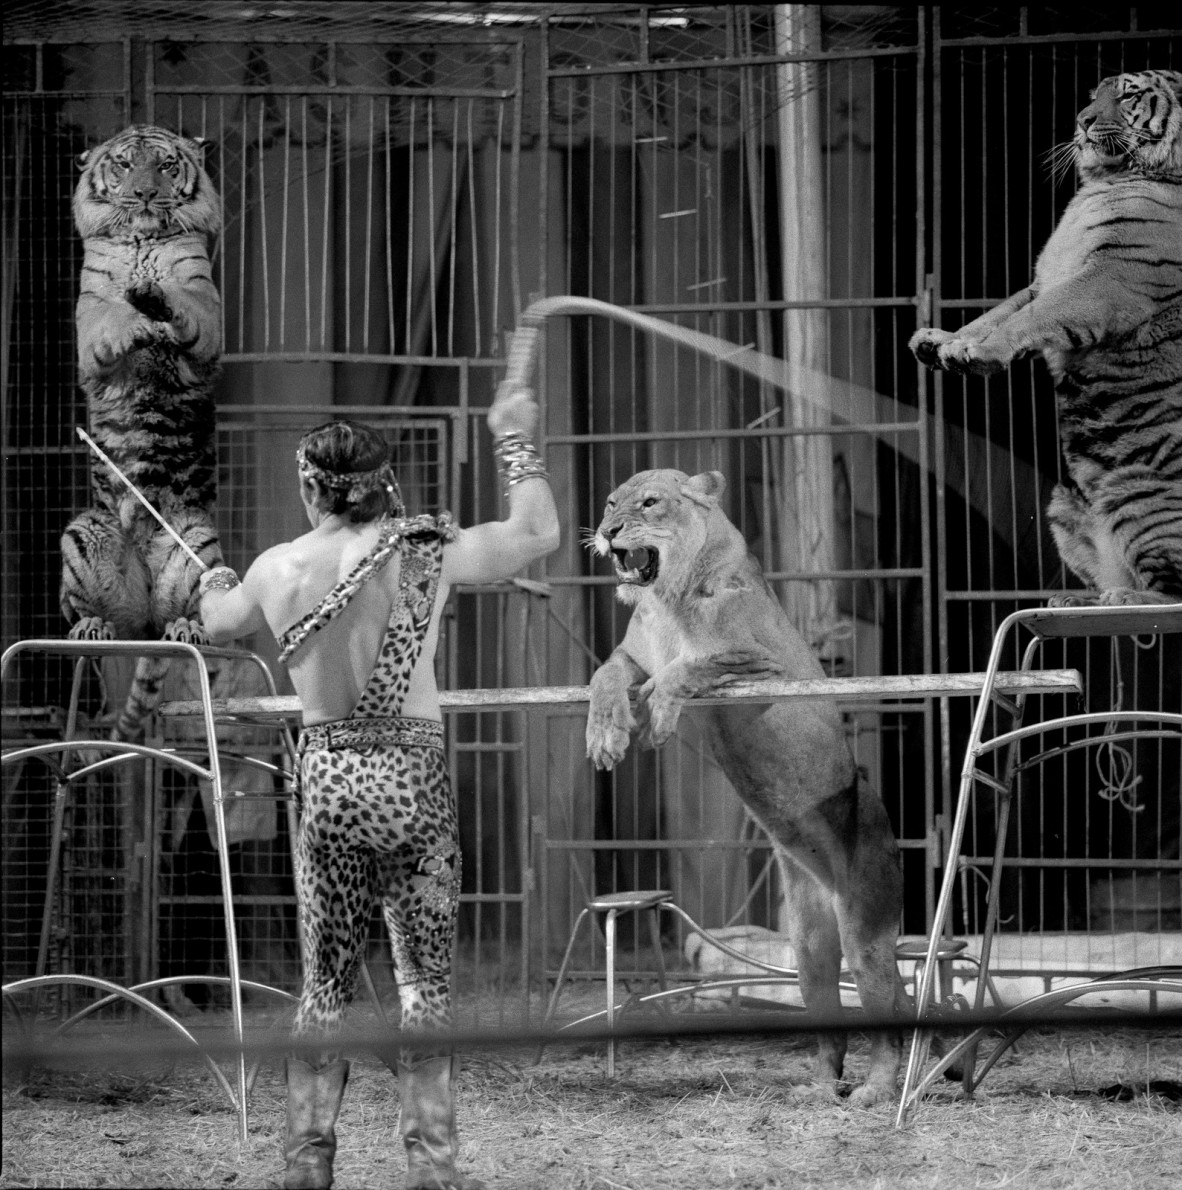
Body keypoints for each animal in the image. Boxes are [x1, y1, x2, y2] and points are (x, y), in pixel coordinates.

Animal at [58, 125, 226, 737]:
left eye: (166, 165)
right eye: (126, 165)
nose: (148, 194)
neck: (141, 241)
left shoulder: (205, 302)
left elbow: (187, 306)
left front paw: (156, 302)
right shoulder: (88, 317)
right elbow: (111, 319)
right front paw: (134, 320)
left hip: (199, 543)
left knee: (196, 617)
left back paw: (186, 628)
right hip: (83, 531)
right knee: (91, 618)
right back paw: (92, 628)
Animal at [909, 68, 1176, 604]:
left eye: (1129, 95)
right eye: (1094, 94)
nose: (1082, 120)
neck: (1107, 181)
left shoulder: (1109, 278)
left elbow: (1031, 319)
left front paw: (974, 351)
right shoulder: (1044, 277)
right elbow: (1004, 312)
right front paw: (940, 340)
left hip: (1137, 491)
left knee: (1173, 591)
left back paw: (1126, 598)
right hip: (1062, 498)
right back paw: (1076, 597)